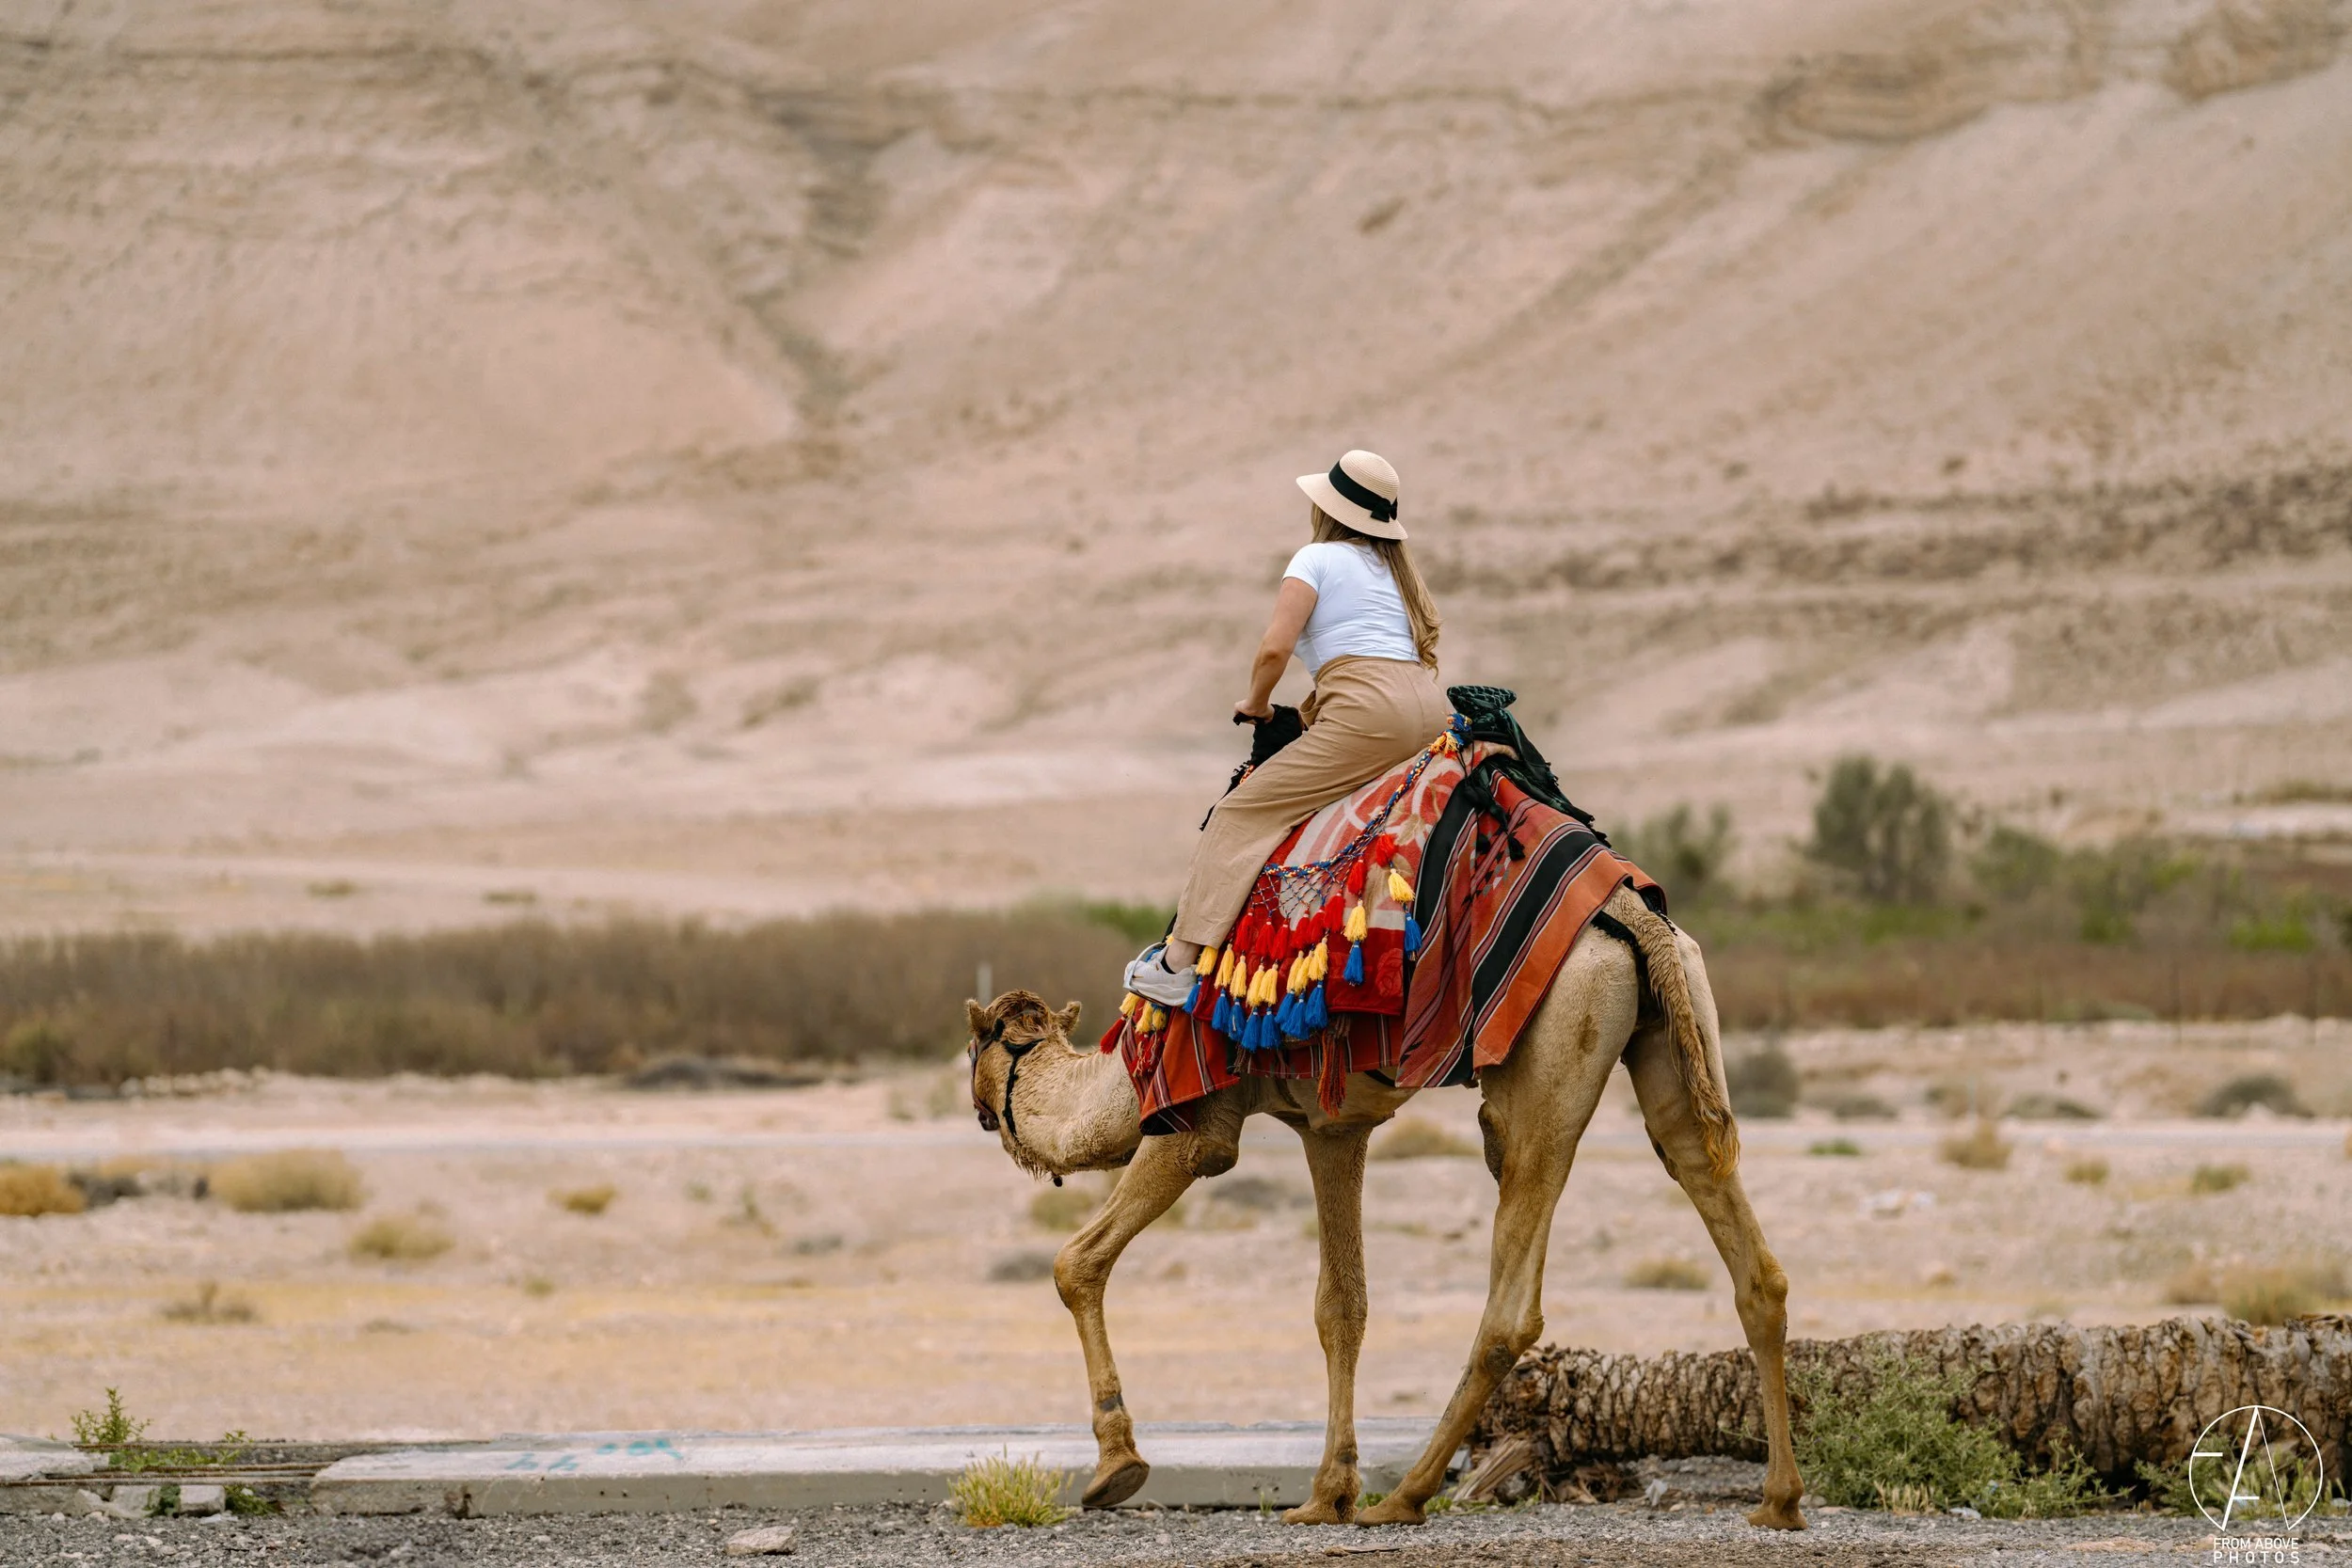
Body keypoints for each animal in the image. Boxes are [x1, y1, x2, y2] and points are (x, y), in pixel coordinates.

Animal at [963, 880, 1807, 1531]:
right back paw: (1779, 1501)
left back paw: (1405, 1496)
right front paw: (1326, 1492)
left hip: (1548, 1063)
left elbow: (1077, 1261)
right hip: (1675, 1036)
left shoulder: (1194, 1124)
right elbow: (1343, 1304)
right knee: (1751, 1260)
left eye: (974, 1047)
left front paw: (1117, 1465)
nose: (976, 1108)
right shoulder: (1331, 1127)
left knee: (1513, 1296)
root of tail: (1635, 918)